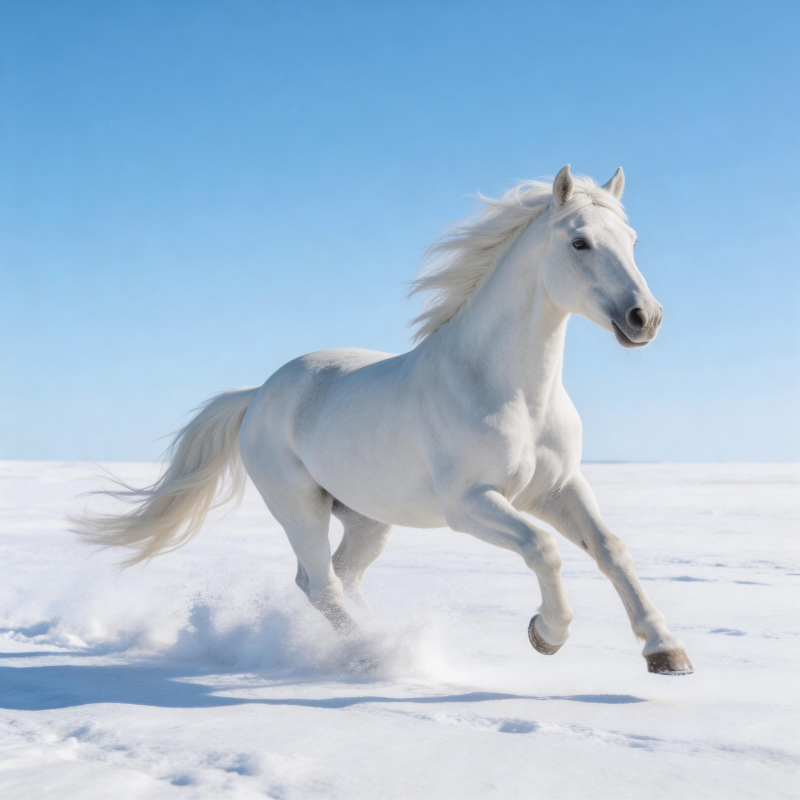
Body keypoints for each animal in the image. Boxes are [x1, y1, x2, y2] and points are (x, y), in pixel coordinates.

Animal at [76, 165, 693, 676]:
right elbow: (543, 548)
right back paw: (371, 655)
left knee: (340, 578)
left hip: (369, 520)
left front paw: (665, 651)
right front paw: (548, 634)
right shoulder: (470, 503)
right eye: (579, 241)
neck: (514, 392)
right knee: (320, 584)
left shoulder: (558, 488)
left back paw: (384, 641)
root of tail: (258, 394)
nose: (645, 317)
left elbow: (611, 549)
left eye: (633, 241)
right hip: (299, 507)